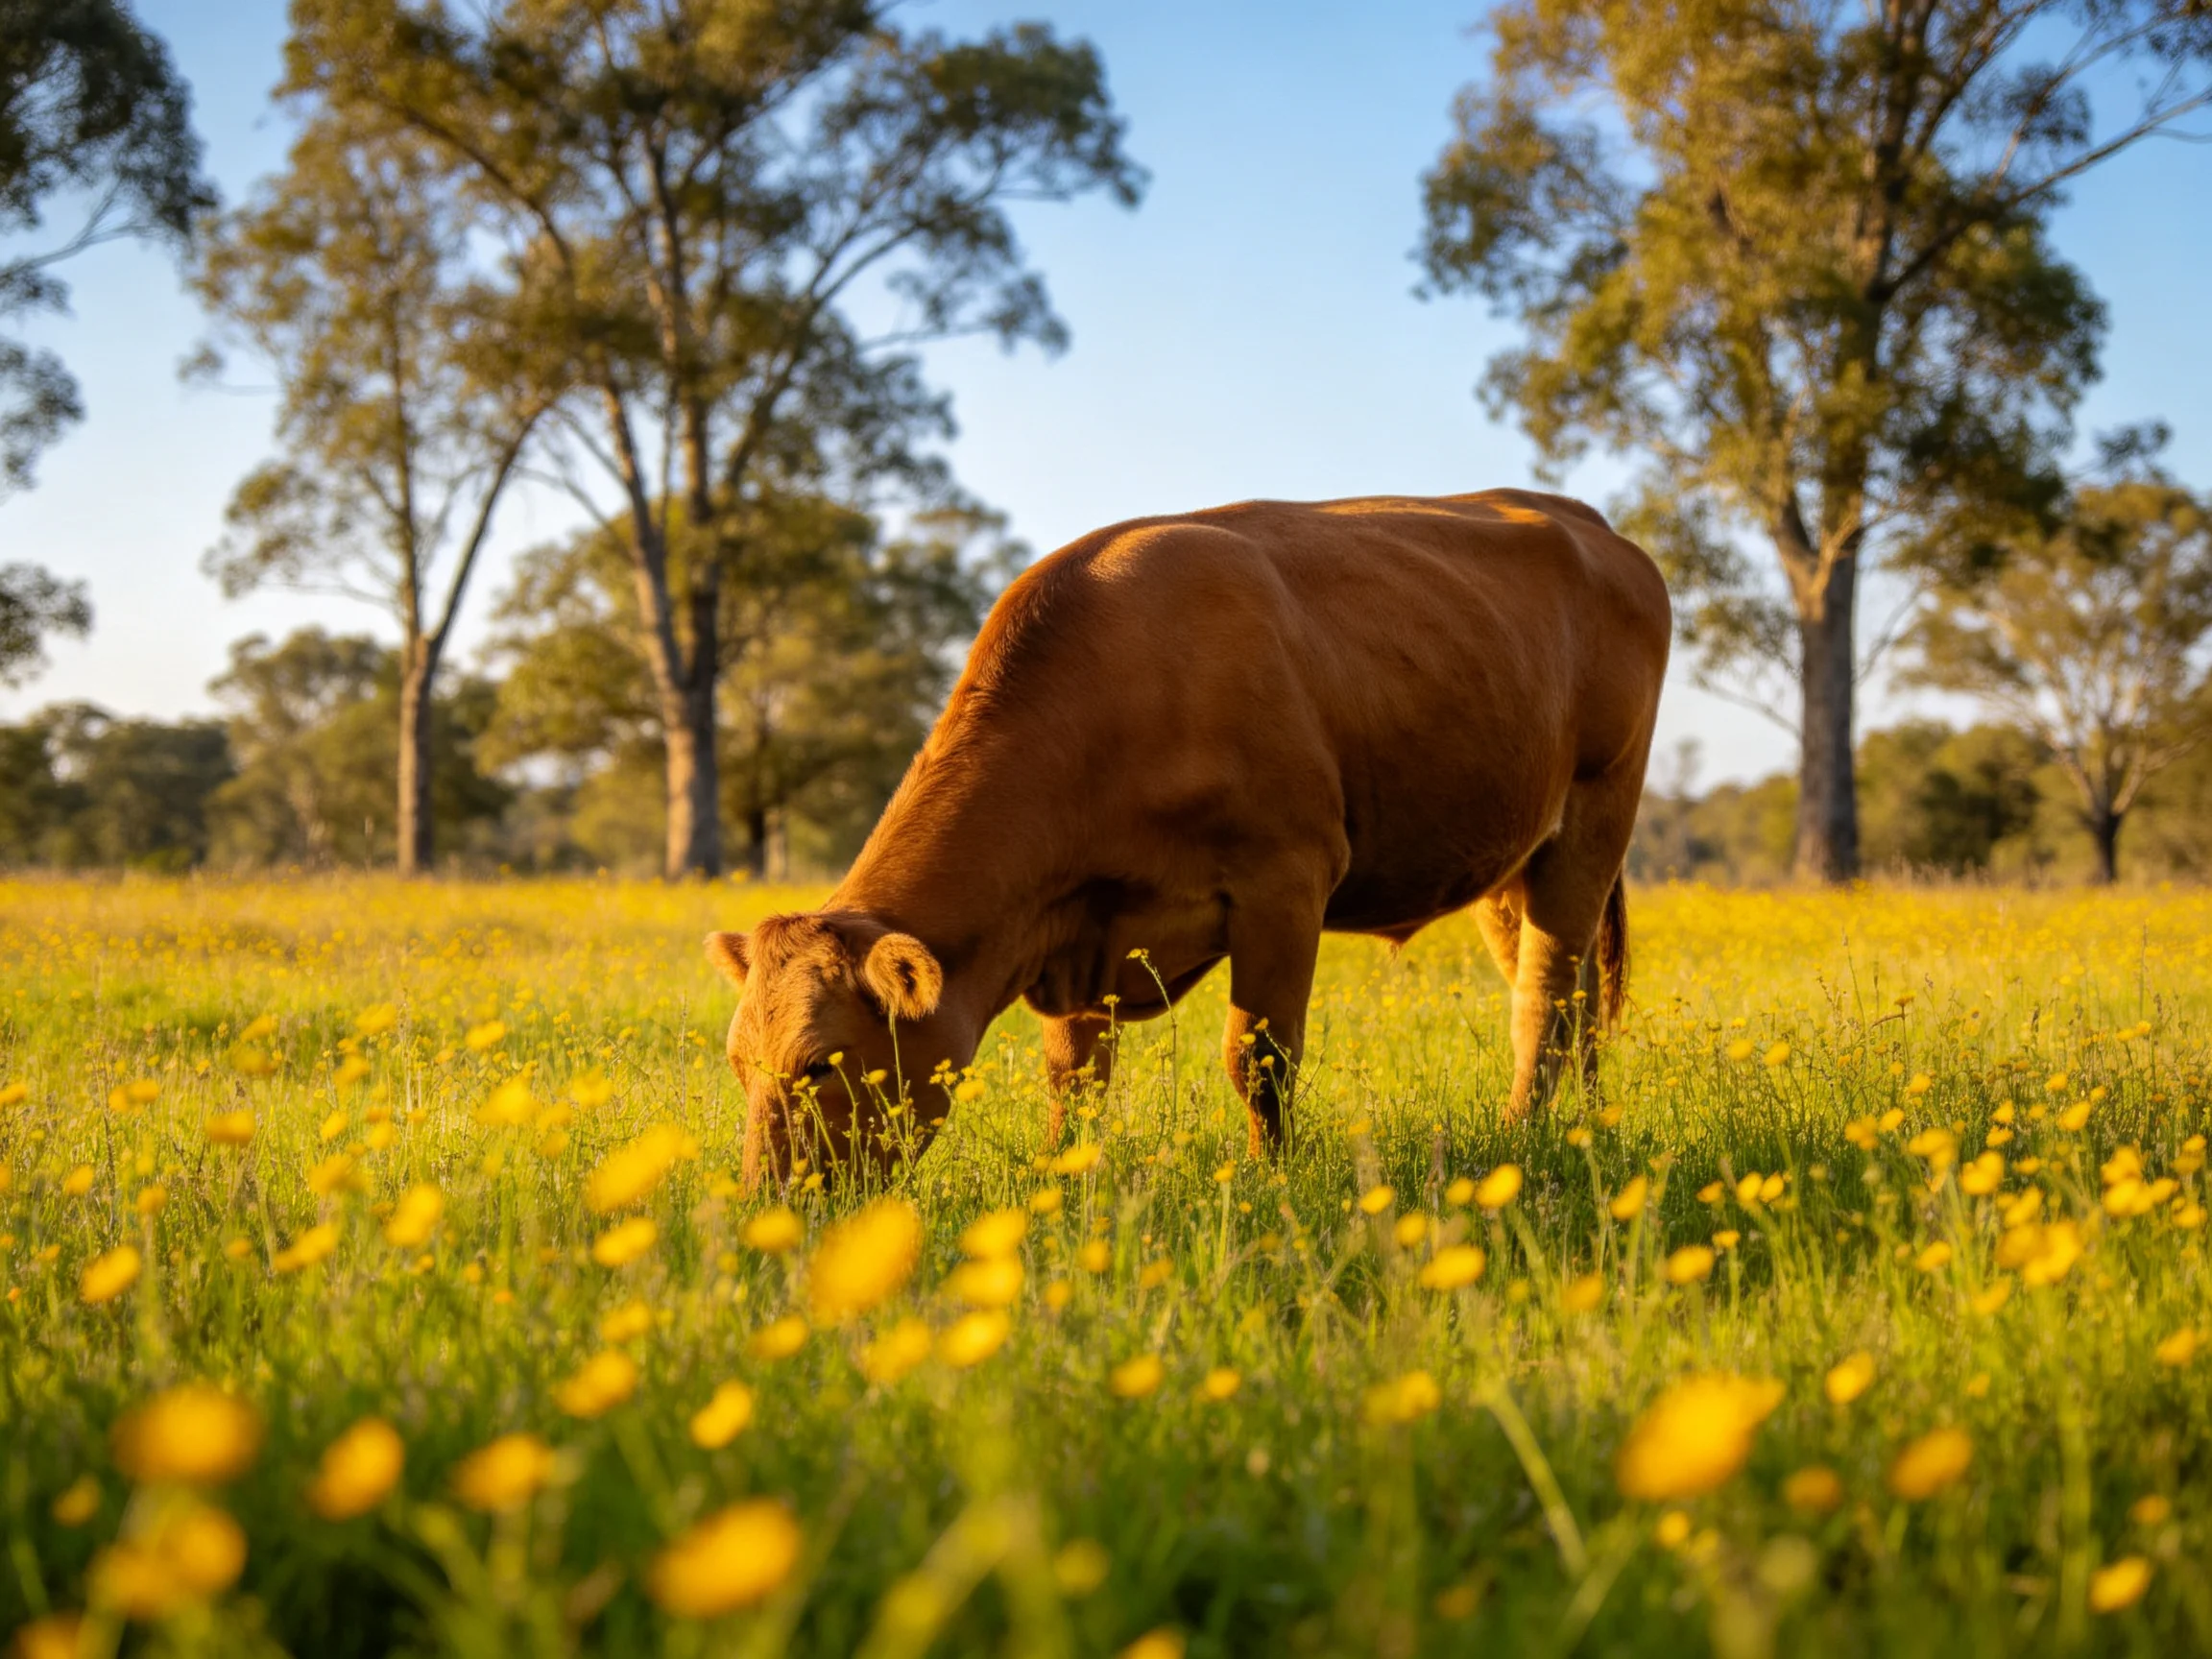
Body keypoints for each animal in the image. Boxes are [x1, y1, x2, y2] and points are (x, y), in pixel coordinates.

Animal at [706, 489, 1670, 1186]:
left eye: (820, 1064)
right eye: (737, 1064)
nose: (767, 1203)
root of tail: (1588, 521)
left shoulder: (1287, 882)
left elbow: (1259, 1059)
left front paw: (1270, 1183)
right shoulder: (1083, 938)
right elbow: (1076, 1080)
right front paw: (1067, 1185)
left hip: (1598, 811)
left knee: (1548, 996)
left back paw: (1523, 1133)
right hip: (1513, 856)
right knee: (1571, 994)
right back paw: (1582, 1127)